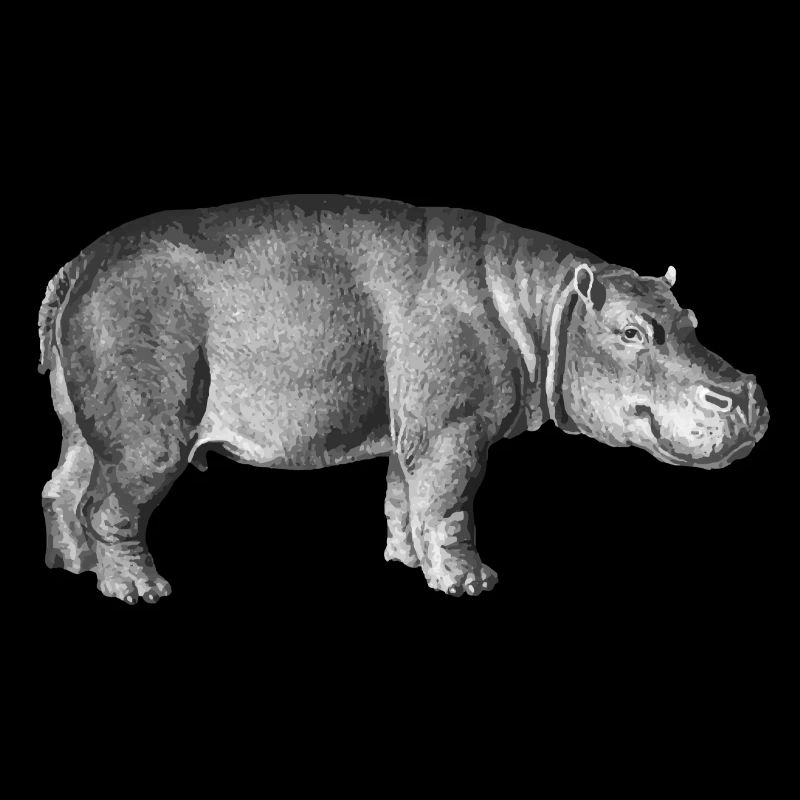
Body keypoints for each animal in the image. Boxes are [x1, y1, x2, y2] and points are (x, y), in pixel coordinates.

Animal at [38, 194, 769, 603]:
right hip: (148, 433)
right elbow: (448, 505)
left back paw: (72, 568)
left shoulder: (412, 431)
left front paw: (406, 564)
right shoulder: (453, 431)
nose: (744, 392)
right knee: (110, 505)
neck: (543, 304)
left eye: (691, 319)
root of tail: (78, 264)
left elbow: (403, 499)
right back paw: (139, 591)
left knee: (62, 488)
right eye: (631, 331)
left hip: (85, 425)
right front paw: (471, 585)